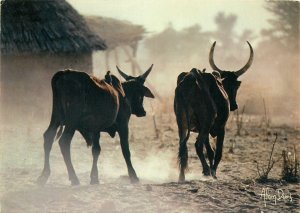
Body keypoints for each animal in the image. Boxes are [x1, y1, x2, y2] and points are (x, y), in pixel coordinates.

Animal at [173, 41, 253, 181]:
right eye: (235, 86)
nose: (234, 105)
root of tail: (192, 79)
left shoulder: (202, 128)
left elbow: (210, 151)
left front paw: (210, 171)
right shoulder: (220, 128)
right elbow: (217, 151)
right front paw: (213, 172)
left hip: (182, 124)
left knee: (183, 146)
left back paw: (182, 176)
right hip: (206, 123)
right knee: (197, 145)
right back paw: (206, 170)